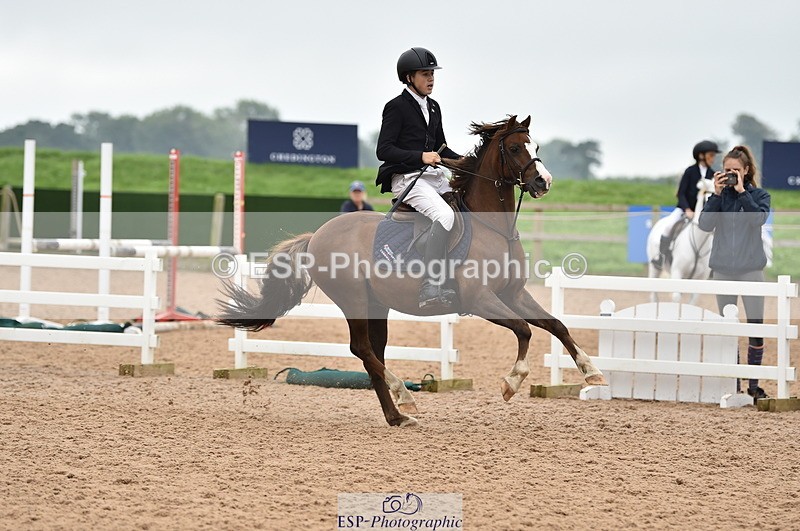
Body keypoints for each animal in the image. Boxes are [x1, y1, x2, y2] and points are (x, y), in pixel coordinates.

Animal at [217, 115, 606, 428]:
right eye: (513, 148)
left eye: (534, 146)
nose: (543, 182)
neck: (492, 226)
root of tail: (317, 236)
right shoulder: (480, 300)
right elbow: (524, 331)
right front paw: (512, 382)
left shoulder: (513, 294)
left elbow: (556, 324)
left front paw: (593, 373)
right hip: (354, 300)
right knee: (362, 349)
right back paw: (403, 394)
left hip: (377, 305)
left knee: (373, 354)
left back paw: (397, 416)